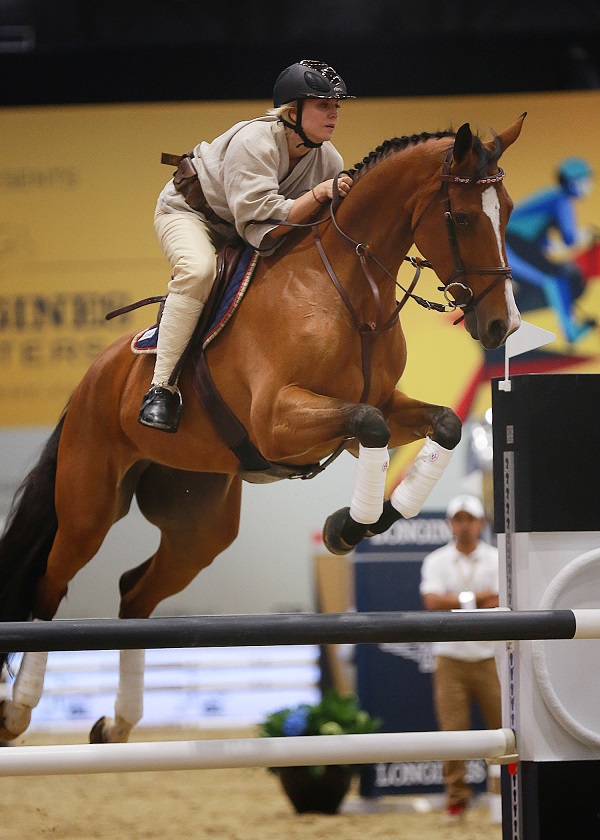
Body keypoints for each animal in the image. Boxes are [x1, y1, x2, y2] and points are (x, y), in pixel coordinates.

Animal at [0, 115, 524, 744]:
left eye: (510, 210)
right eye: (464, 217)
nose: (500, 326)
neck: (348, 285)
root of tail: (92, 379)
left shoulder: (372, 413)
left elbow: (440, 424)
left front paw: (361, 524)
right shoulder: (281, 419)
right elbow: (369, 424)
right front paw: (351, 527)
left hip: (198, 525)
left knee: (135, 594)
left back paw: (117, 725)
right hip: (89, 506)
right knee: (50, 585)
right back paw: (19, 712)